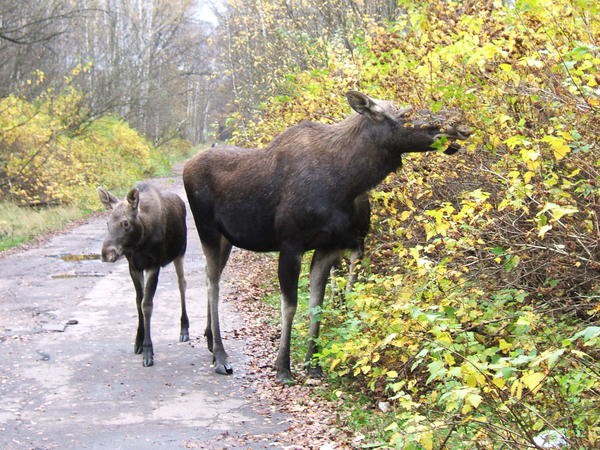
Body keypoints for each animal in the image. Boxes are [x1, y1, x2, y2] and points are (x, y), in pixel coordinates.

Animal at [98, 182, 189, 366]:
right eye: (107, 222)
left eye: (125, 223)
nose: (106, 254)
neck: (139, 243)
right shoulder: (134, 267)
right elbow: (138, 301)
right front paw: (138, 342)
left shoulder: (154, 265)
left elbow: (147, 304)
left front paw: (148, 350)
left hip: (180, 253)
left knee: (182, 284)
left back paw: (184, 329)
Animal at [183, 91, 474, 384]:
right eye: (404, 114)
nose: (459, 126)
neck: (347, 183)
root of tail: (187, 166)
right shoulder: (291, 243)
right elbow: (290, 306)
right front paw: (283, 367)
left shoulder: (331, 246)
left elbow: (318, 304)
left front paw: (313, 364)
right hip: (207, 229)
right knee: (212, 284)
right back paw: (221, 356)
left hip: (227, 238)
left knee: (210, 276)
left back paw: (210, 342)